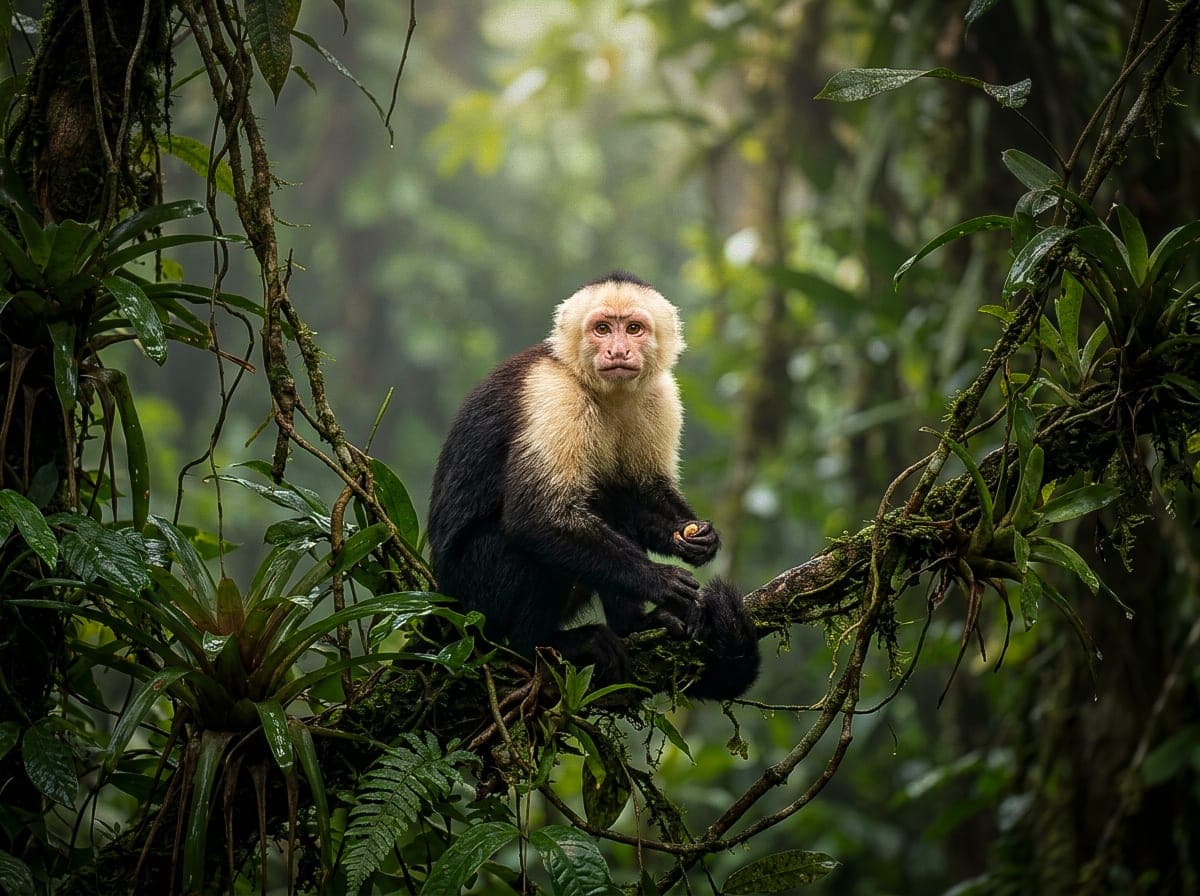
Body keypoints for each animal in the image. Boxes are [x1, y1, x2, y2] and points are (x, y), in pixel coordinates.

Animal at [427, 271, 759, 700]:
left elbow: (641, 491)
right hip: (469, 599)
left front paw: (694, 538)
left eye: (633, 329)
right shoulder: (553, 396)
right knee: (524, 552)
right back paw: (538, 647)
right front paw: (658, 579)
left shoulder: (660, 395)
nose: (617, 350)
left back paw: (636, 626)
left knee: (607, 506)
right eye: (602, 329)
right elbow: (536, 516)